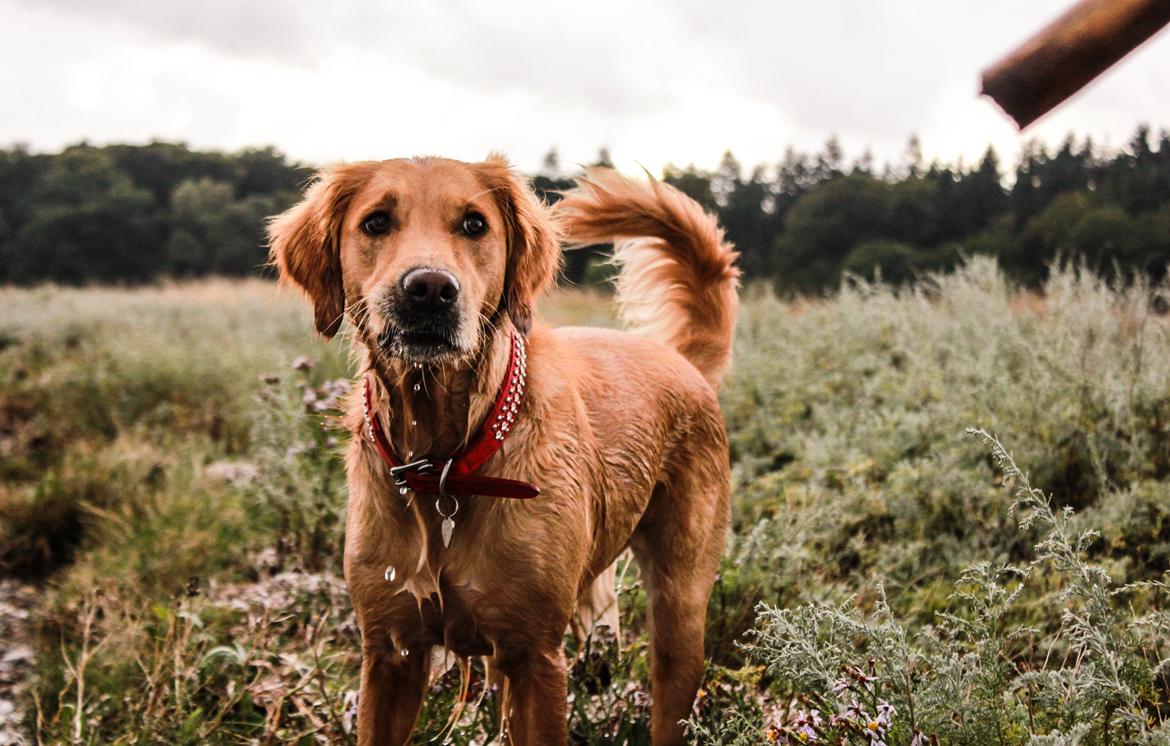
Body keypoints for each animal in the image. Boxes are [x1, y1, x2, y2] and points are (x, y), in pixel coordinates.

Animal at [269, 154, 734, 743]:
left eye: (474, 224)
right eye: (375, 222)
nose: (429, 289)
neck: (446, 463)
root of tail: (681, 360)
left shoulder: (535, 658)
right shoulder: (390, 653)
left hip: (680, 613)